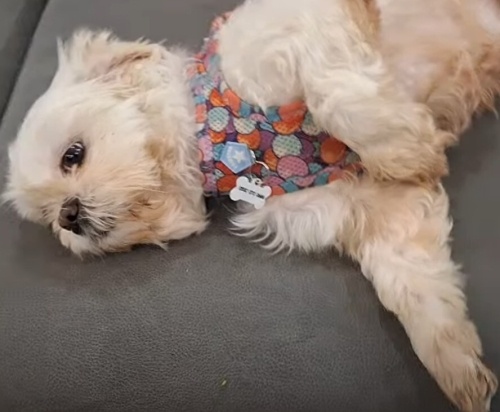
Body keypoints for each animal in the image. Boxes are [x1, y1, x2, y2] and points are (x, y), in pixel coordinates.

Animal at [4, 0, 500, 410]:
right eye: (50, 219)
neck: (224, 140)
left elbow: (335, 96)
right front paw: (457, 365)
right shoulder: (369, 207)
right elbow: (415, 284)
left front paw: (407, 149)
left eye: (73, 155)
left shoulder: (310, 25)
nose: (68, 216)